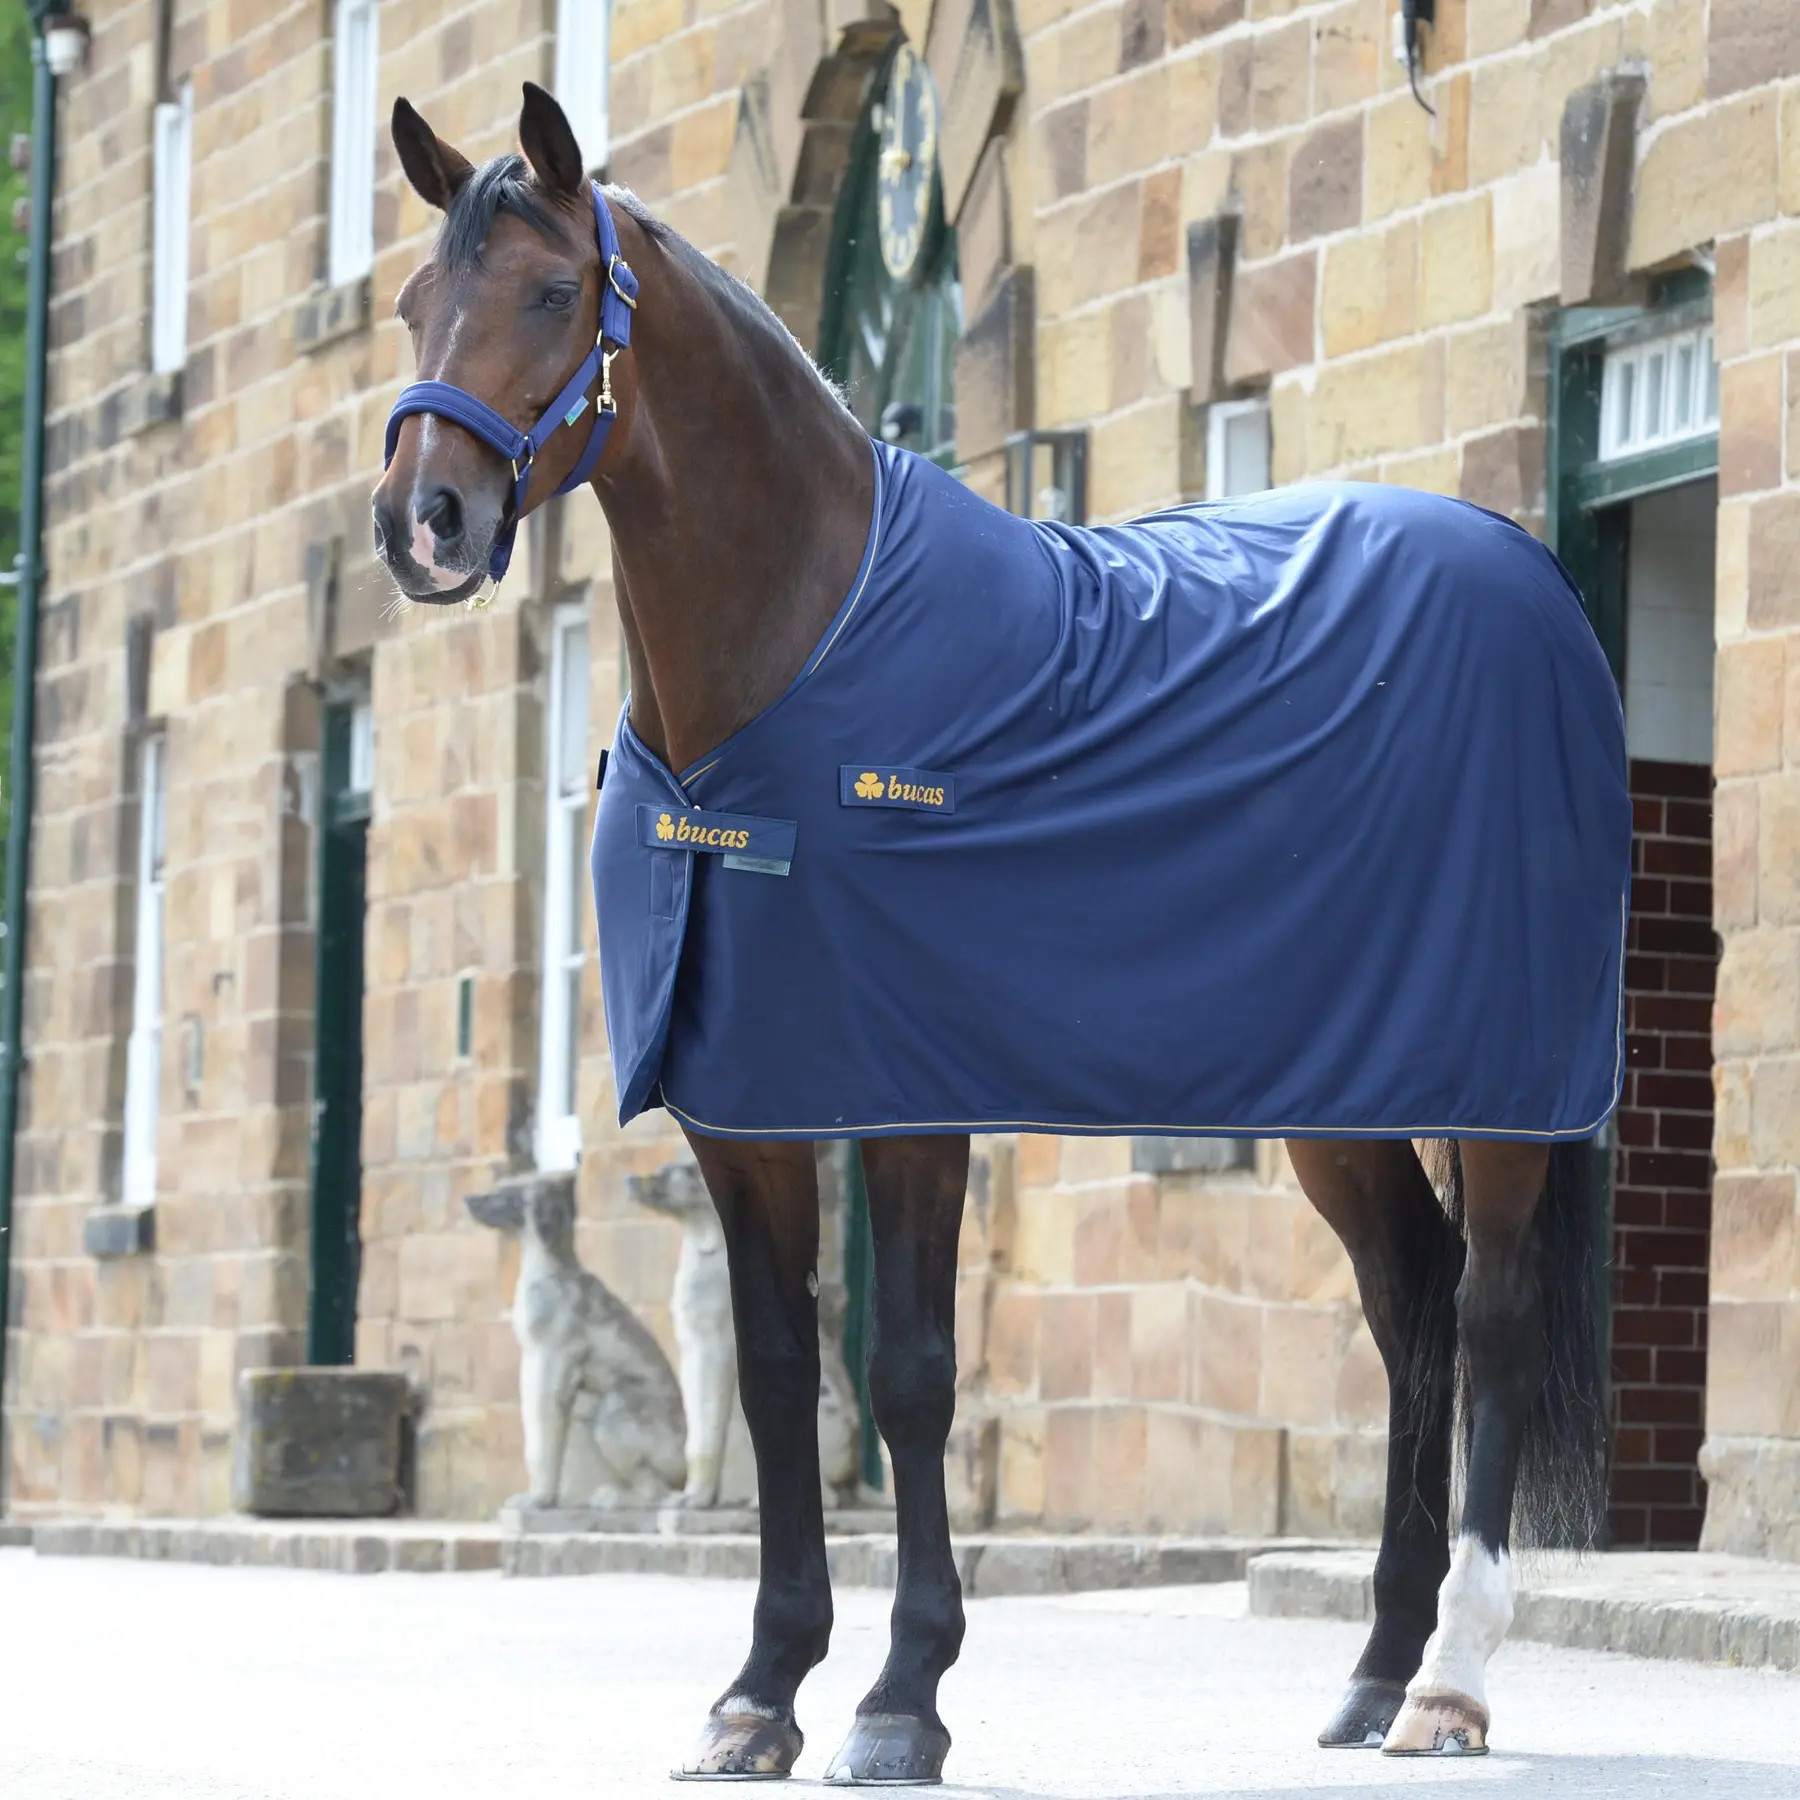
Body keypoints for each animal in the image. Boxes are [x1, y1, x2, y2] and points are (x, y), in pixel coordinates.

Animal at [373, 83, 1625, 1785]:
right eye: (412, 303)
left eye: (555, 292)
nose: (421, 523)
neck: (800, 661)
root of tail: (1528, 574)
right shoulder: (745, 1109)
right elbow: (775, 1374)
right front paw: (759, 1693)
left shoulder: (911, 1099)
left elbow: (908, 1375)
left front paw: (903, 1696)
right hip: (1341, 1099)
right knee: (1410, 1313)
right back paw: (1376, 1667)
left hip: (1503, 1084)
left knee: (1488, 1318)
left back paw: (1453, 1680)